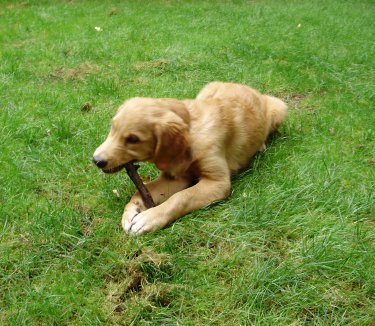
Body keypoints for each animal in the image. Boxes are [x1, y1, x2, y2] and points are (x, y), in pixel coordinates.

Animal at [93, 81, 288, 234]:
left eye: (133, 139)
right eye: (112, 127)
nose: (96, 160)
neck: (192, 133)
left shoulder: (218, 182)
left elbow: (181, 197)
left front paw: (149, 218)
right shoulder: (175, 177)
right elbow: (144, 190)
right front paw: (131, 210)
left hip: (280, 107)